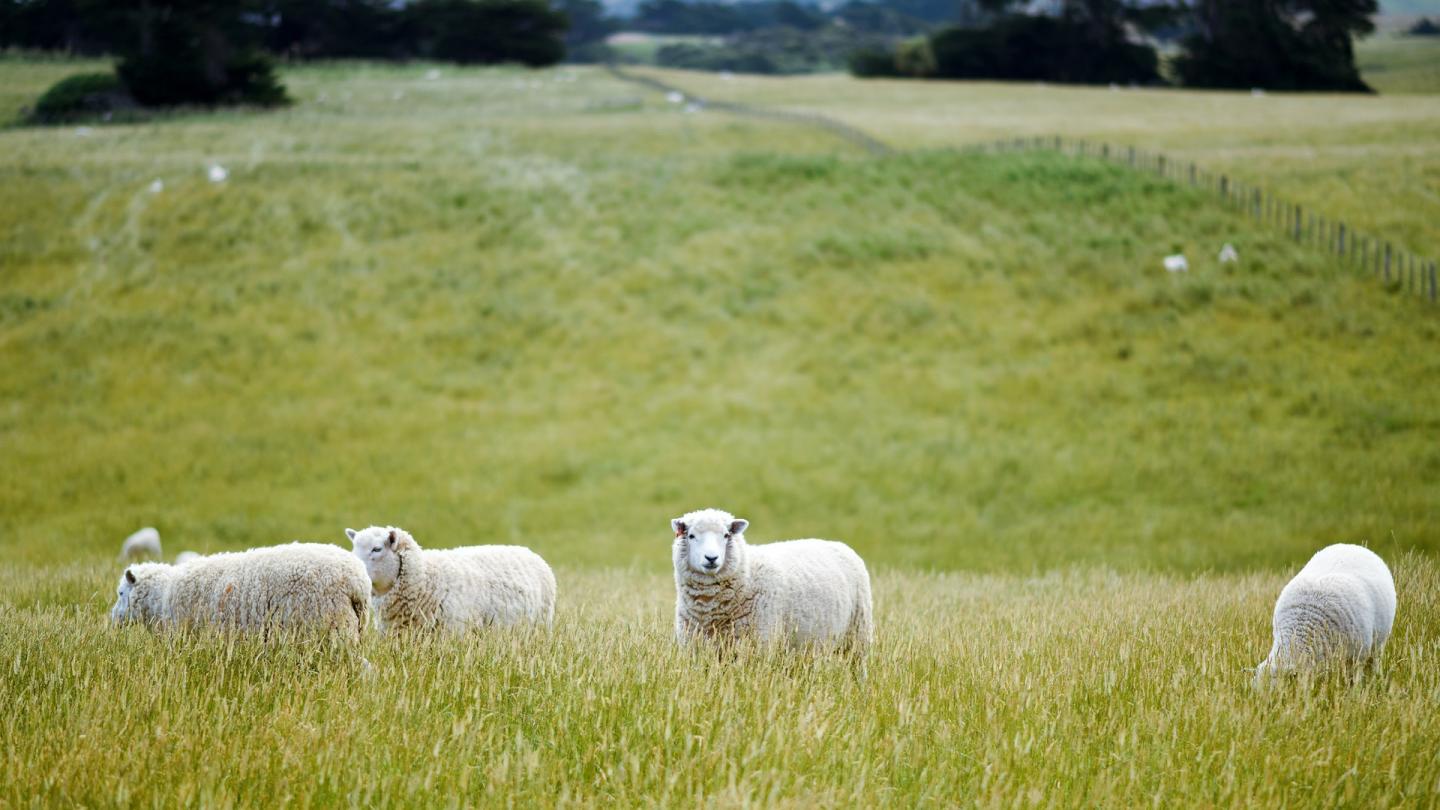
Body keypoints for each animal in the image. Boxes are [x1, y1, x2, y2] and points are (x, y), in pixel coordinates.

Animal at [669, 508, 872, 660]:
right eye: (691, 536)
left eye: (726, 535)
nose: (711, 558)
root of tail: (840, 545)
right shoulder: (696, 648)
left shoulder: (758, 646)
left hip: (858, 635)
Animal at [1255, 543, 1396, 684]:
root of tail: (1352, 546)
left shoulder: (1359, 654)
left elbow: (1356, 676)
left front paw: (1356, 687)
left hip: (1379, 642)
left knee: (1376, 660)